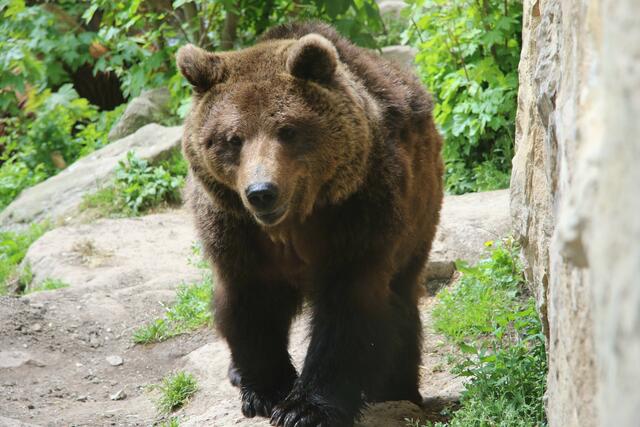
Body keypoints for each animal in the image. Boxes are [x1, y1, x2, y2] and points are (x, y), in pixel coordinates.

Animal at [176, 21, 444, 427]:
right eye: (232, 139)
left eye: (287, 129)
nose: (261, 192)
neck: (293, 223)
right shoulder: (236, 231)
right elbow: (249, 303)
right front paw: (265, 391)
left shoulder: (359, 215)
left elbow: (347, 310)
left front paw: (304, 408)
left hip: (419, 217)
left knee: (400, 300)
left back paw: (397, 387)